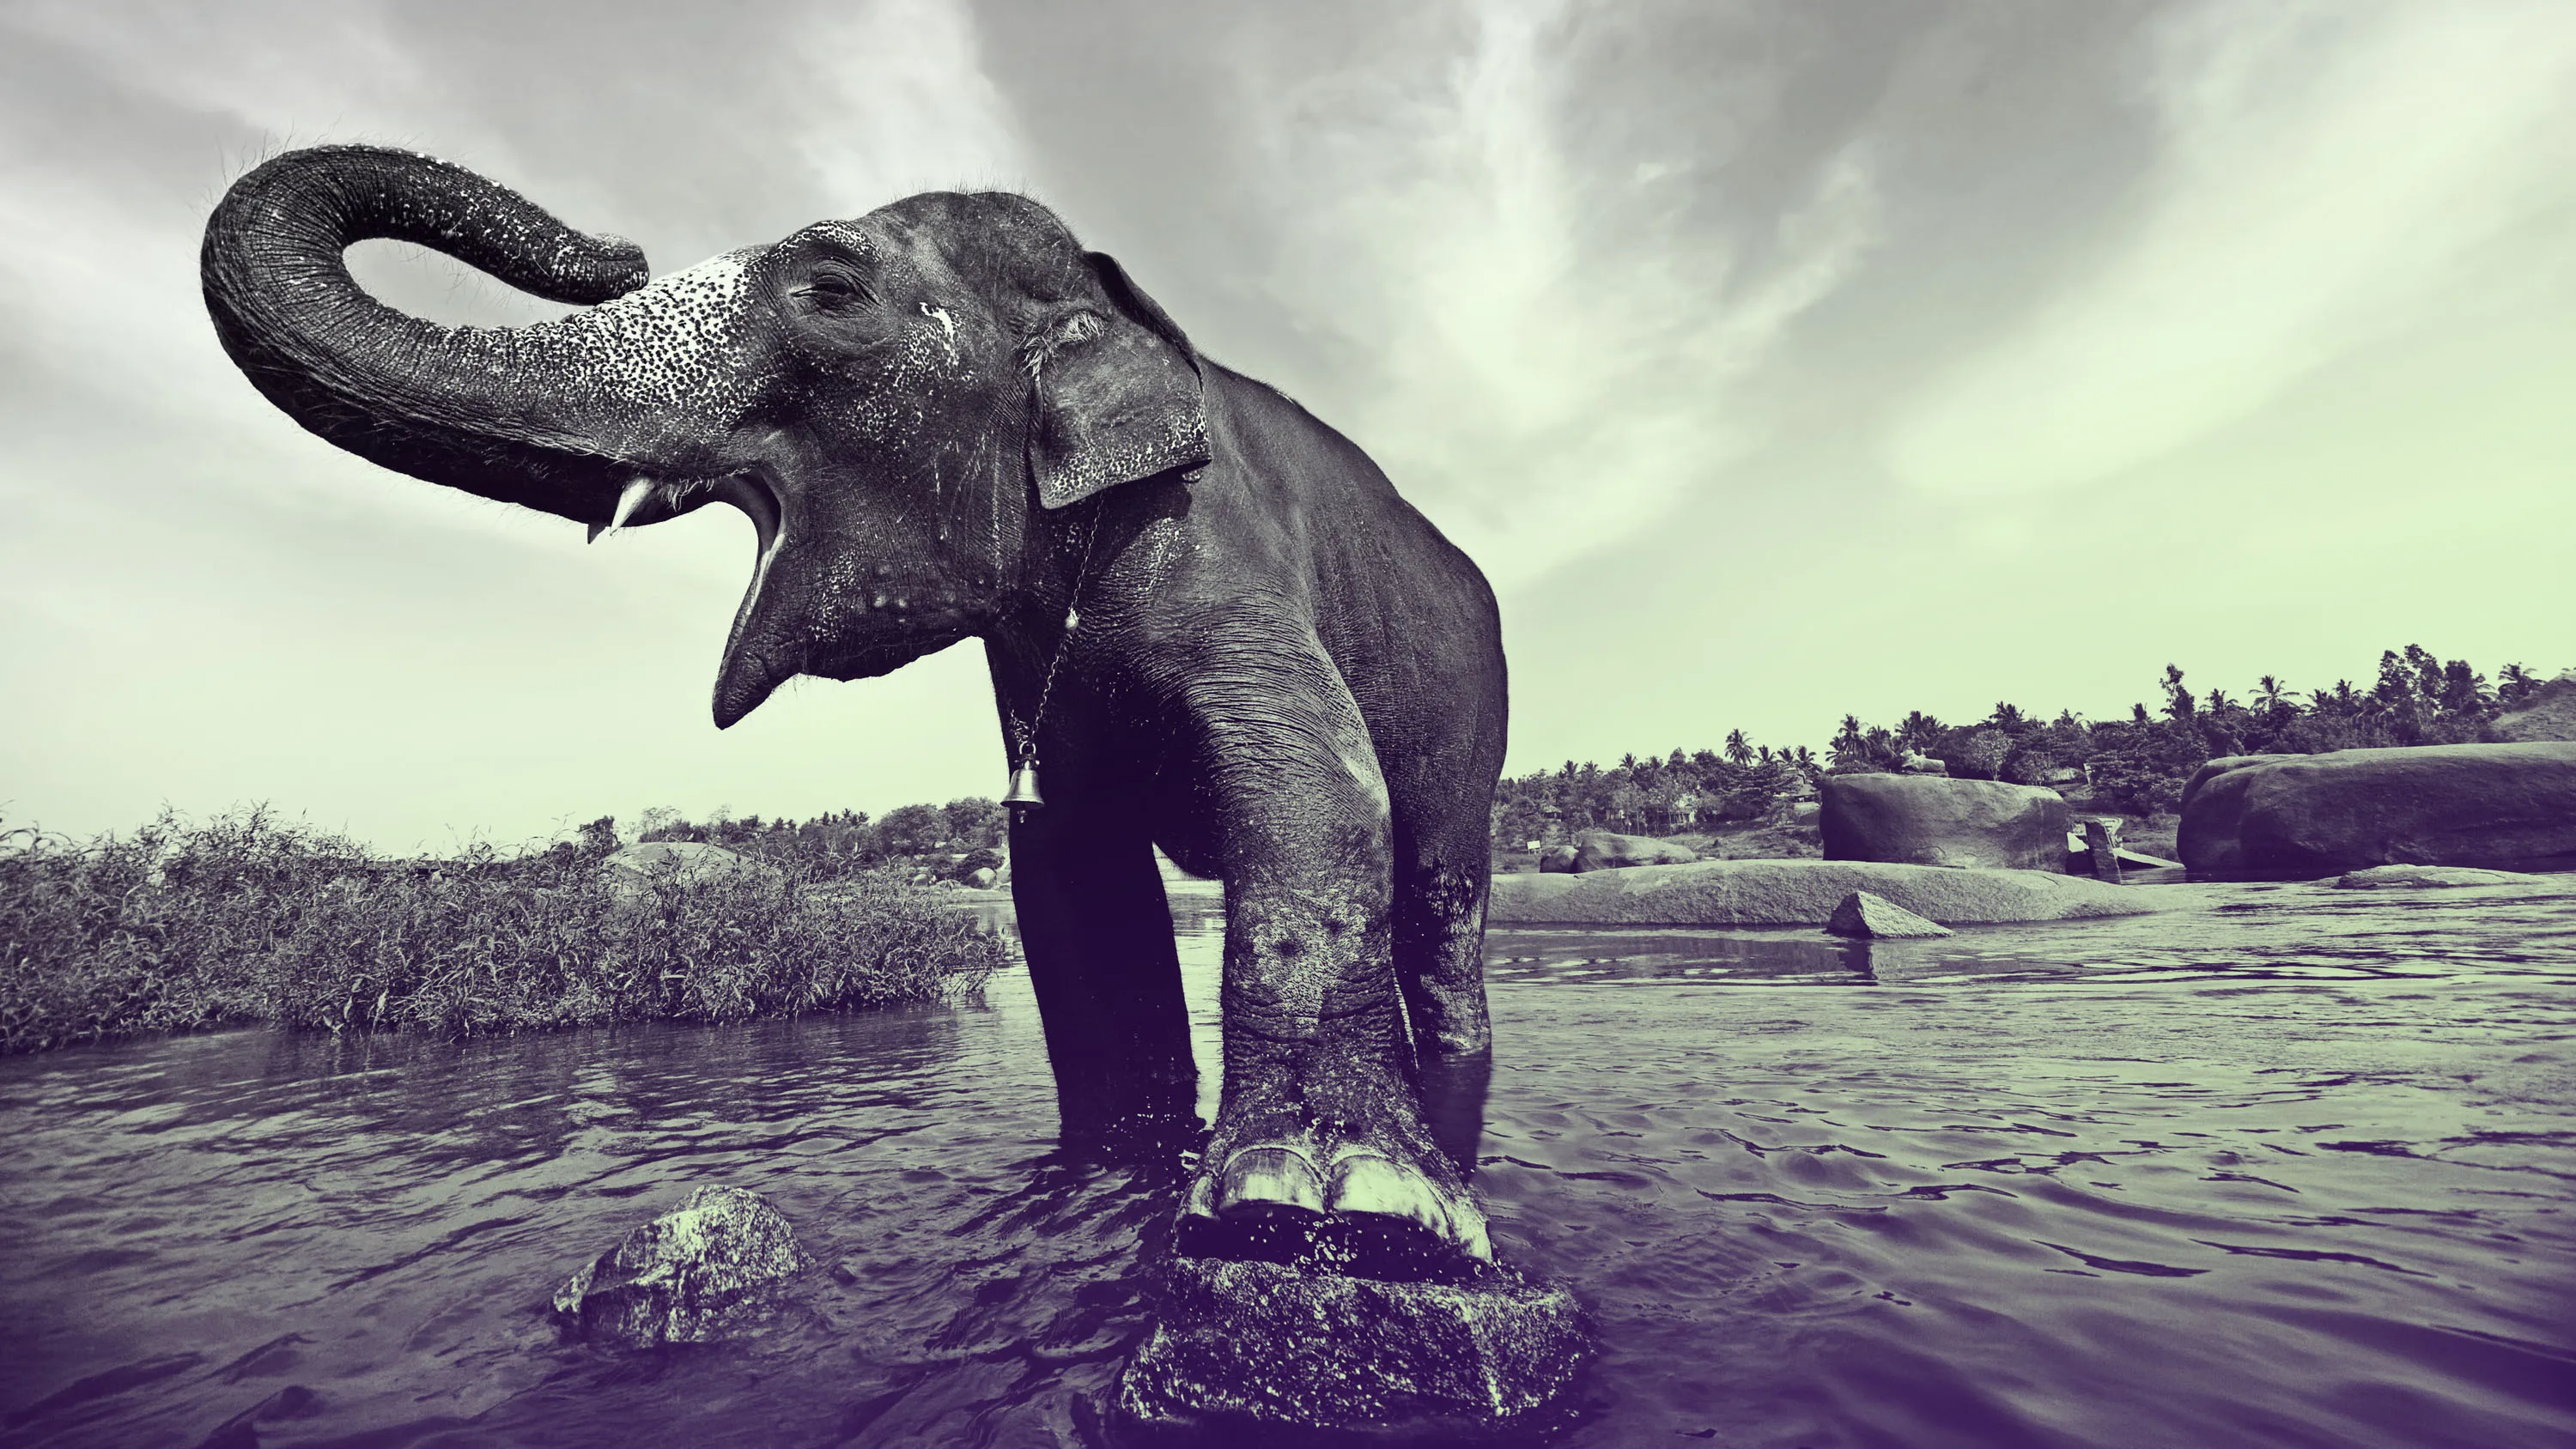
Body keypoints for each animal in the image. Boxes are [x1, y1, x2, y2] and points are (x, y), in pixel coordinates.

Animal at [202, 146, 1509, 1273]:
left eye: (829, 290)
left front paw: (1324, 1205)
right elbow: (1069, 873)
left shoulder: (1214, 540)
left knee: (1441, 896)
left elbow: (1316, 783)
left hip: (1475, 719)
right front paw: (1119, 1172)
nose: (613, 252)